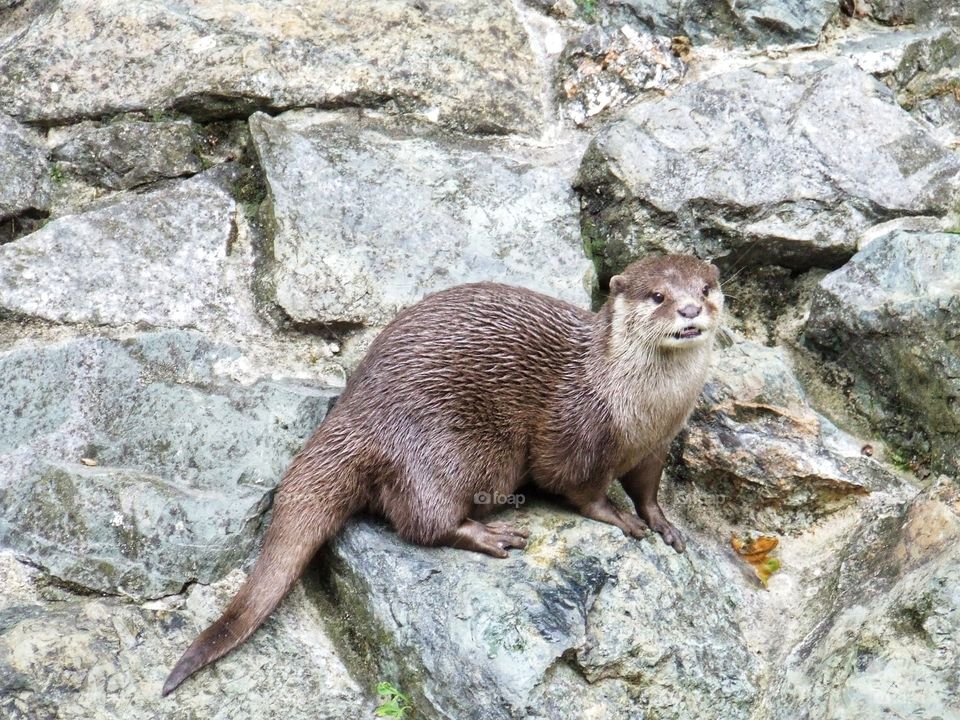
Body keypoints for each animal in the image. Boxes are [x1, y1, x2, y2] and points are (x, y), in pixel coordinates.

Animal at [162, 254, 723, 696]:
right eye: (657, 296)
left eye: (705, 288)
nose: (690, 310)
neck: (640, 407)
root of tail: (357, 413)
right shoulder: (575, 433)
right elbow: (578, 488)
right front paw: (620, 519)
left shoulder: (657, 446)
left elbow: (647, 490)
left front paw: (663, 524)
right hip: (461, 452)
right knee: (420, 520)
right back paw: (490, 535)